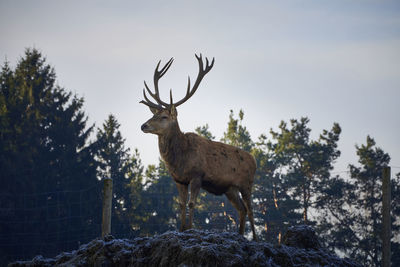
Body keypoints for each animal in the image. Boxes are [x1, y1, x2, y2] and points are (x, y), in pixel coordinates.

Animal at [139, 54, 258, 241]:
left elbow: (191, 203)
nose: (143, 125)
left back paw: (255, 238)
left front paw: (189, 229)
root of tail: (254, 159)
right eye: (153, 114)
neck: (180, 159)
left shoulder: (197, 175)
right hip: (230, 189)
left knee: (251, 209)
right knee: (242, 209)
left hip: (247, 183)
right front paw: (181, 229)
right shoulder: (179, 180)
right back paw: (239, 235)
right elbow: (181, 204)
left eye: (164, 116)